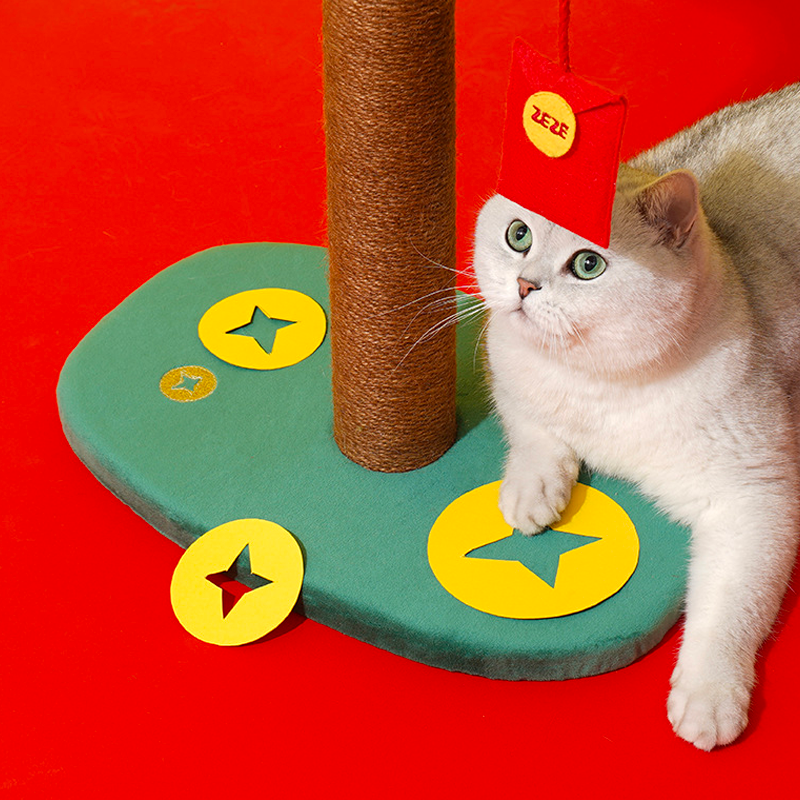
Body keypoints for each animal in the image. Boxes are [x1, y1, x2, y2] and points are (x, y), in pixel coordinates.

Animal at [473, 83, 800, 750]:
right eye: (517, 235)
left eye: (587, 266)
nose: (522, 285)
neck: (598, 384)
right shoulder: (510, 372)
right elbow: (534, 432)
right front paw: (531, 493)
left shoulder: (757, 496)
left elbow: (728, 609)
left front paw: (708, 697)